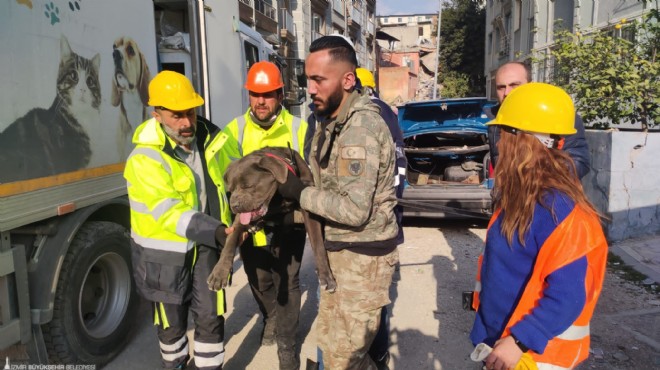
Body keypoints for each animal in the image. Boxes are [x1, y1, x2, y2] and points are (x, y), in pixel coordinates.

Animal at [209, 146, 338, 294]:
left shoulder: (307, 204)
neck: (276, 199)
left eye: (247, 186)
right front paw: (219, 273)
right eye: (230, 189)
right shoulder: (240, 219)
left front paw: (326, 276)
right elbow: (231, 241)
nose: (234, 206)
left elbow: (318, 244)